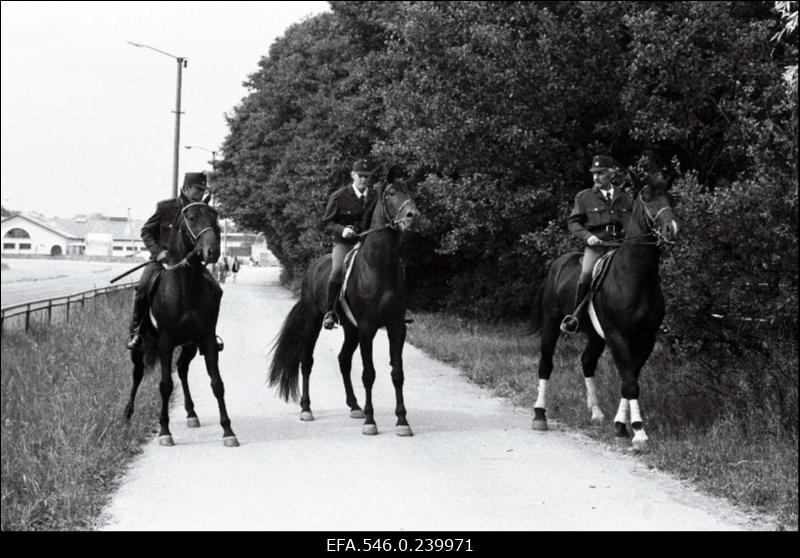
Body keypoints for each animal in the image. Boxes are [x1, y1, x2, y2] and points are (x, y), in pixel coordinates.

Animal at [120, 203, 236, 448]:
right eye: (191, 218)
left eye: (214, 217)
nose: (212, 251)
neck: (187, 288)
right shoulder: (166, 342)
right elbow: (165, 385)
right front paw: (165, 431)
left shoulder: (207, 339)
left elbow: (217, 384)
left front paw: (228, 431)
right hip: (140, 346)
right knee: (137, 374)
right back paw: (127, 414)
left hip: (190, 345)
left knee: (182, 369)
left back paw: (191, 413)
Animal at [268, 179, 418, 438]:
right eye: (391, 193)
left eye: (409, 191)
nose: (413, 216)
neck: (379, 267)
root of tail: (313, 268)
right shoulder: (368, 328)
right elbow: (369, 374)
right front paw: (370, 421)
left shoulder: (396, 327)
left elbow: (397, 374)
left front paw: (402, 421)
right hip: (314, 322)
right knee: (306, 360)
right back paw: (306, 409)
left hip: (351, 330)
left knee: (343, 360)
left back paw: (355, 406)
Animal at [528, 175, 680, 456]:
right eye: (648, 198)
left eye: (669, 197)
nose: (672, 228)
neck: (635, 277)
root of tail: (559, 263)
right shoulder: (617, 335)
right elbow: (630, 381)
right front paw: (638, 433)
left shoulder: (645, 339)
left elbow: (629, 377)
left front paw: (620, 427)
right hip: (552, 323)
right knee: (545, 364)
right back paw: (540, 415)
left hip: (596, 336)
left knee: (587, 362)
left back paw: (596, 413)